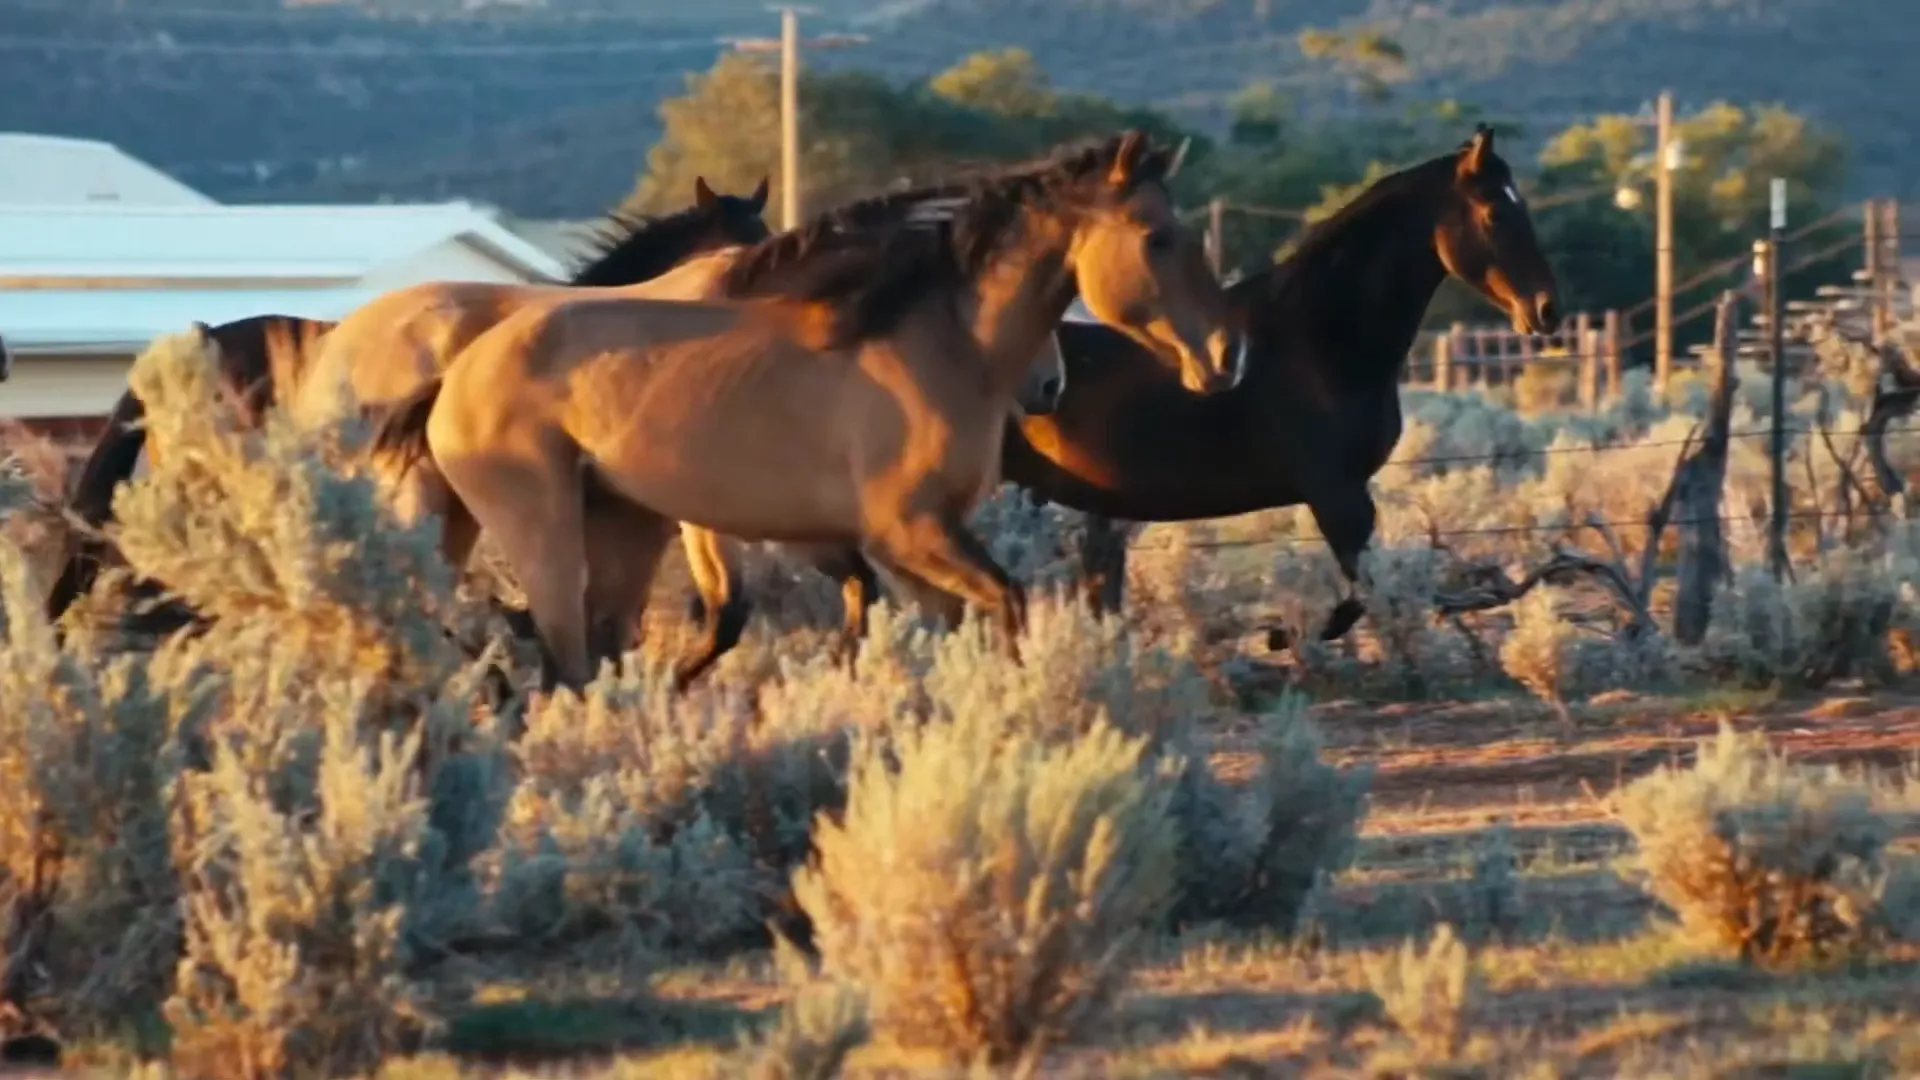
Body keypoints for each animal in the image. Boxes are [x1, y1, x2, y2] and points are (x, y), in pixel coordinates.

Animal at [366, 127, 1251, 687]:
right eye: (1158, 237)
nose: (1224, 357)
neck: (932, 344)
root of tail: (461, 369)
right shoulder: (901, 533)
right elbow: (1004, 606)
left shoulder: (899, 547)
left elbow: (922, 625)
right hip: (541, 531)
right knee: (562, 656)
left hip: (615, 529)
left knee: (586, 650)